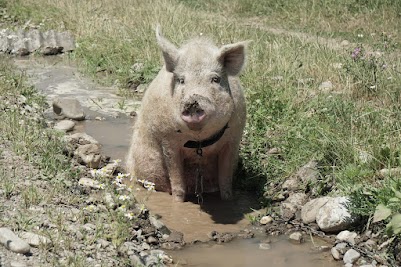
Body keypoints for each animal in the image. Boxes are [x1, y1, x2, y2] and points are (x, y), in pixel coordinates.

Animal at [126, 26, 248, 203]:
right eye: (181, 80)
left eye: (215, 79)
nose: (193, 100)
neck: (199, 142)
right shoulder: (168, 140)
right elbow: (177, 180)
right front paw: (178, 203)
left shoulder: (233, 138)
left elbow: (225, 179)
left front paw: (228, 200)